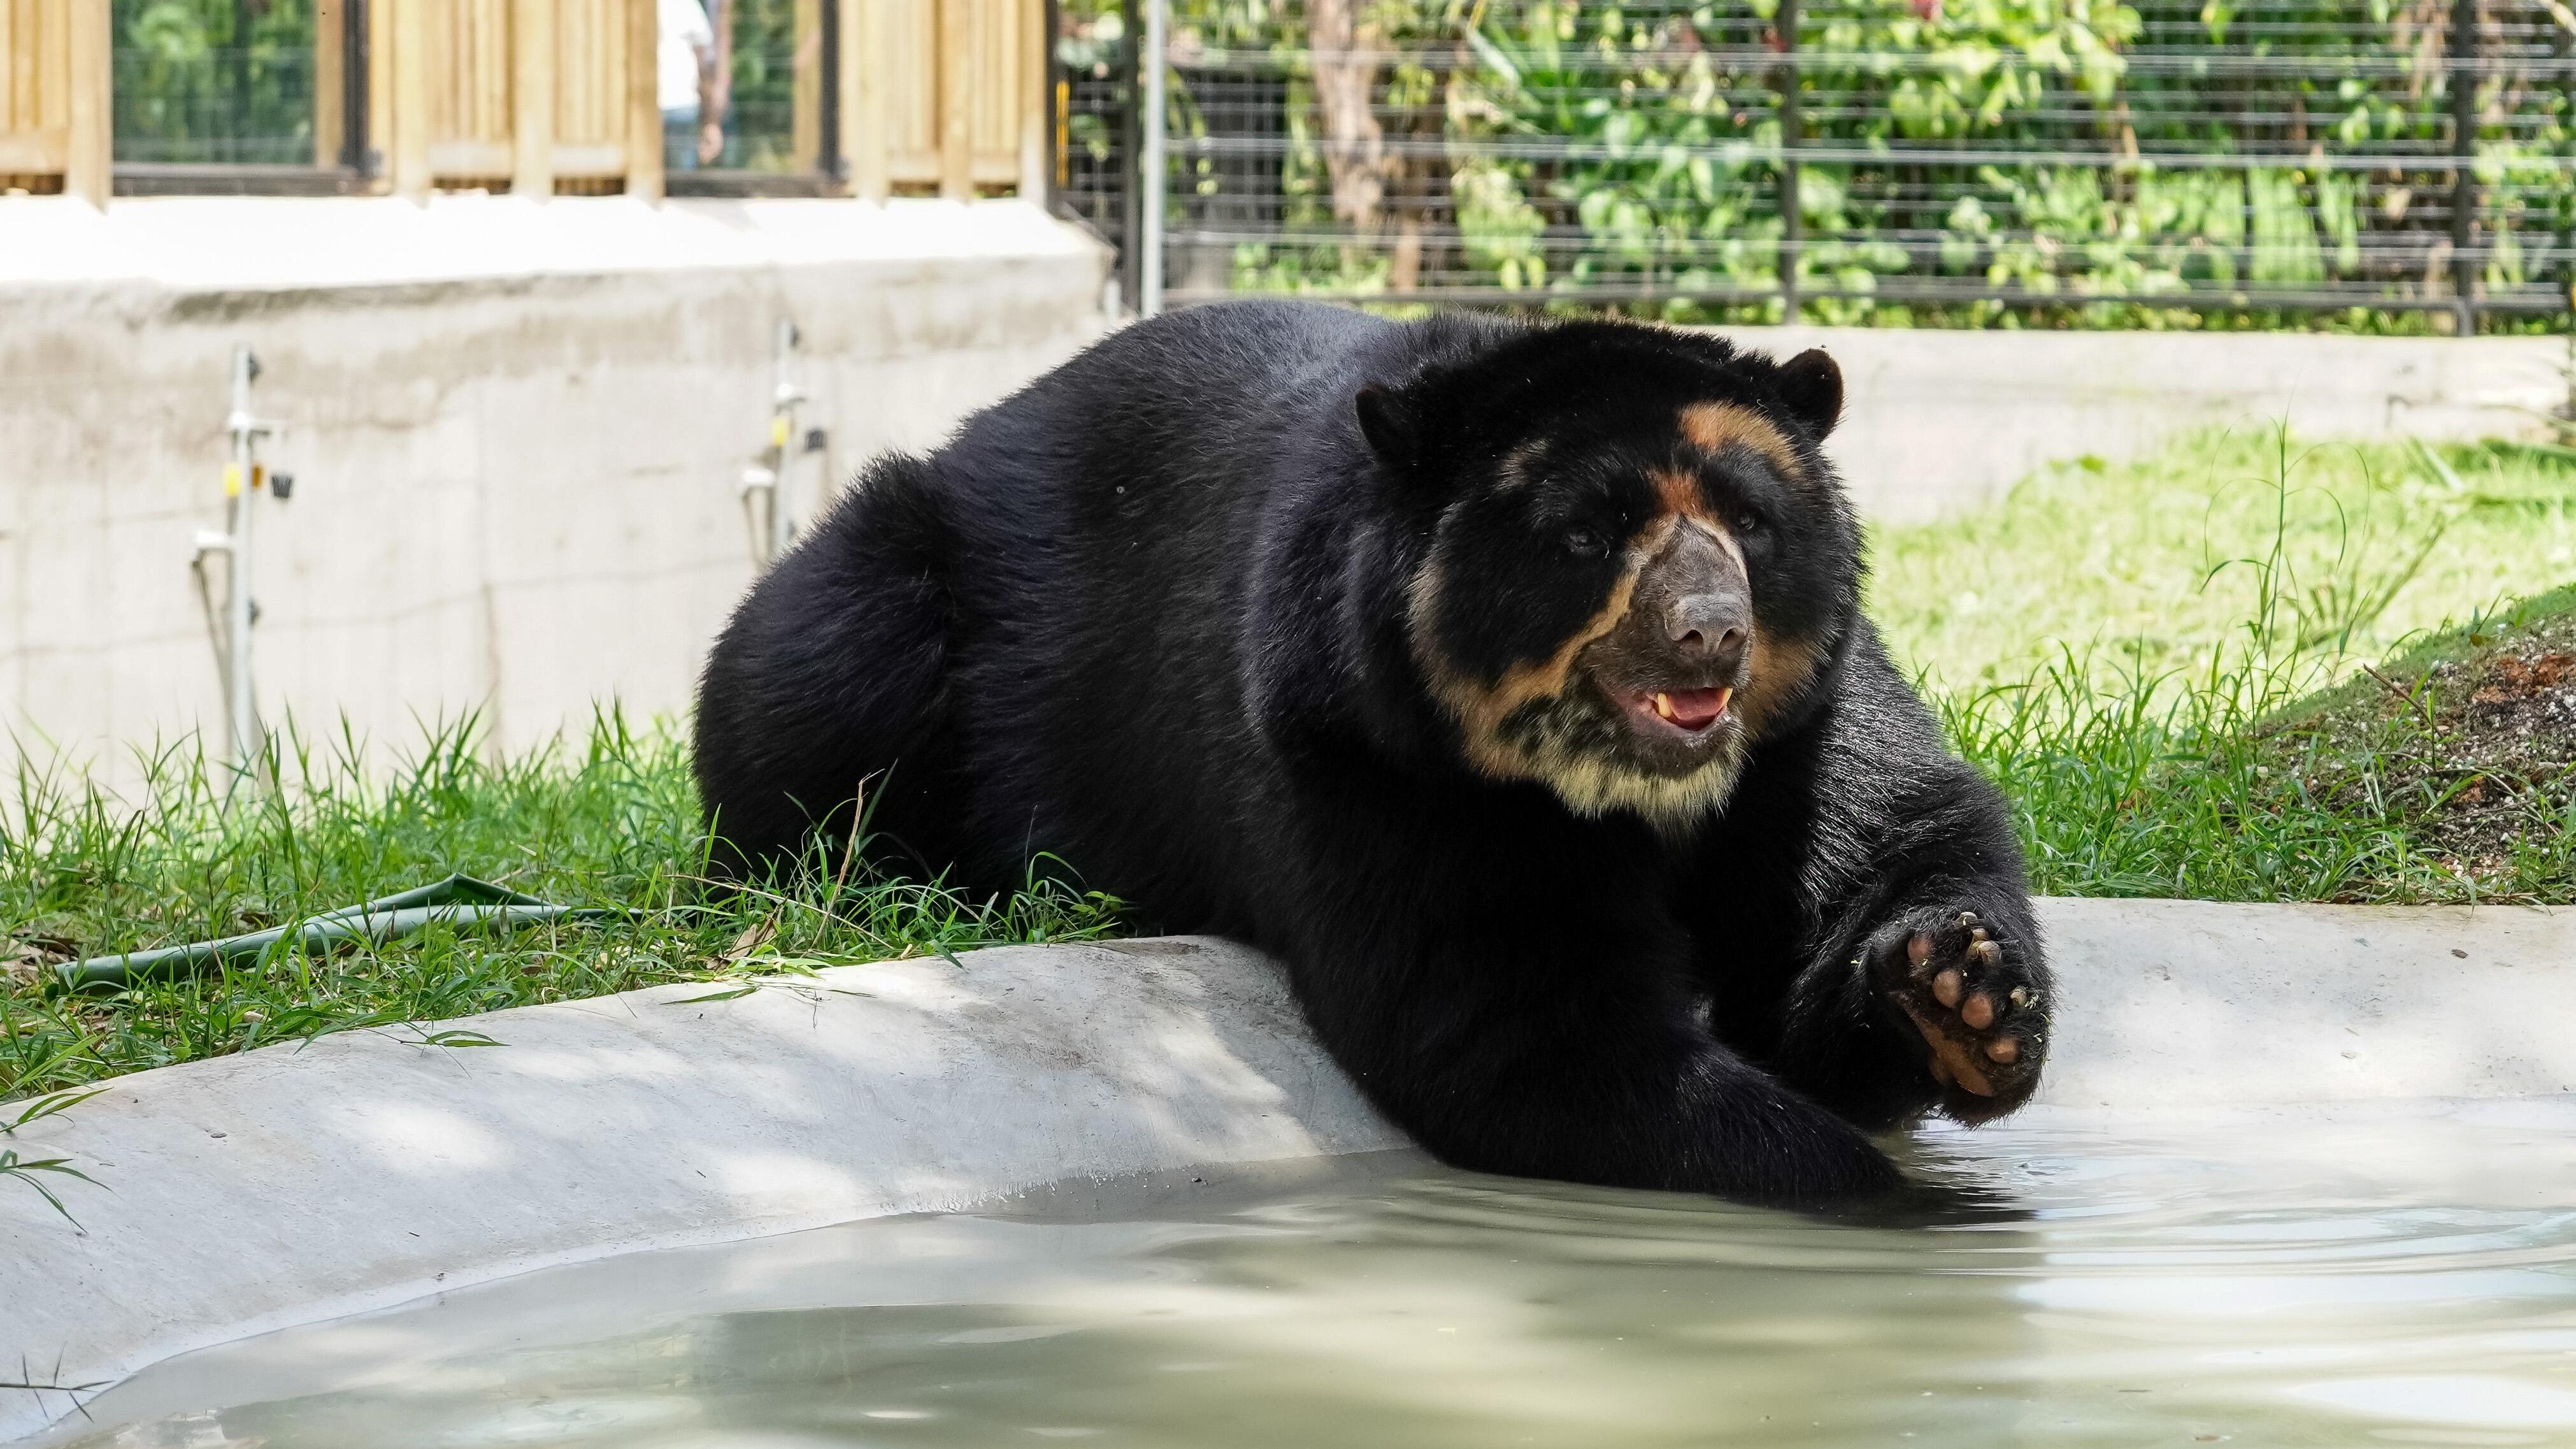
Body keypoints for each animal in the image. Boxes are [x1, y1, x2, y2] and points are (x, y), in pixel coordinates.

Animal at [693, 299, 2048, 1206]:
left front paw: (1962, 992)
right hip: (909, 596)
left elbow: (1875, 850)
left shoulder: (1795, 726)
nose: (1709, 630)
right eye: (1587, 532)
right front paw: (1890, 1192)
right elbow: (1512, 1015)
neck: (1631, 790)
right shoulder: (1365, 754)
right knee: (813, 674)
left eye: (1750, 523)